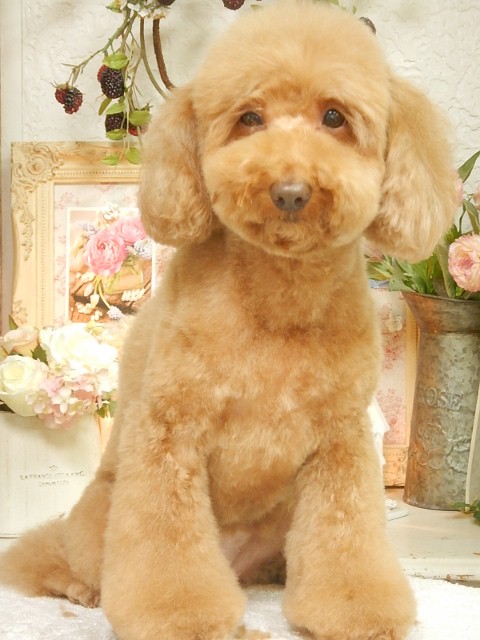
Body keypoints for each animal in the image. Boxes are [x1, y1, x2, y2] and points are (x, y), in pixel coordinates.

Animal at [0, 2, 458, 639]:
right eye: (250, 118)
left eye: (334, 117)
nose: (290, 191)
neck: (277, 298)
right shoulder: (170, 435)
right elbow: (165, 546)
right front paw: (181, 616)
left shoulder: (340, 442)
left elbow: (347, 539)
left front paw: (355, 611)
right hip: (100, 512)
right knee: (62, 556)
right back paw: (83, 589)